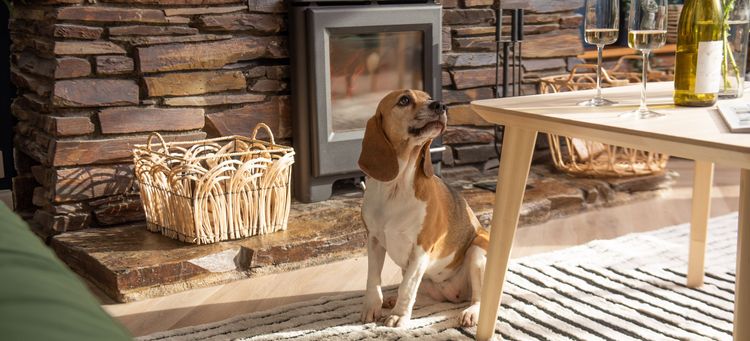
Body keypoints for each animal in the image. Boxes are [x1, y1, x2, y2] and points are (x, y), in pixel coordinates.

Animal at [360, 89, 494, 326]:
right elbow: (373, 279)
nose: (441, 105)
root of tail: (452, 295)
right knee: (419, 296)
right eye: (404, 100)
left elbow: (407, 288)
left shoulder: (421, 249)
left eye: (429, 97)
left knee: (477, 297)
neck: (397, 186)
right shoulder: (374, 241)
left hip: (477, 252)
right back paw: (392, 301)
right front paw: (372, 307)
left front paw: (398, 317)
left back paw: (470, 312)